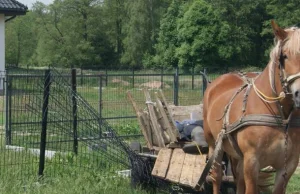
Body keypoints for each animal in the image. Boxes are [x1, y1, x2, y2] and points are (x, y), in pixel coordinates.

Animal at [204, 20, 300, 193]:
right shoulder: (252, 161)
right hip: (214, 143)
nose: (299, 93)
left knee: (238, 178)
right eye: (285, 56)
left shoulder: (288, 165)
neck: (280, 116)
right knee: (216, 175)